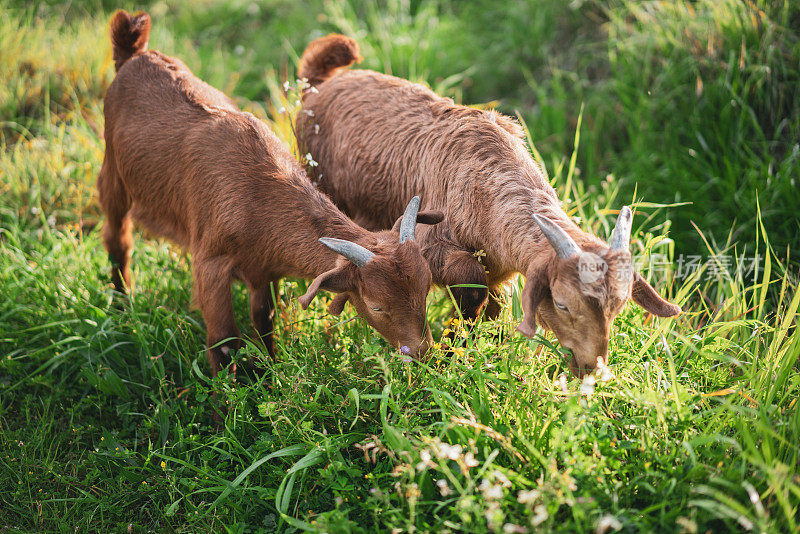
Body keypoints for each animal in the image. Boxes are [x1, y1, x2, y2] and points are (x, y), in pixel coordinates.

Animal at [98, 13, 444, 376]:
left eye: (426, 288)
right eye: (376, 306)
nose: (422, 353)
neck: (258, 199)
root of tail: (134, 53)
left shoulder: (263, 270)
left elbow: (264, 322)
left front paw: (269, 372)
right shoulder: (211, 265)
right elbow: (223, 342)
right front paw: (228, 390)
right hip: (113, 176)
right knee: (118, 239)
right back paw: (121, 306)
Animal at [296, 34, 680, 376]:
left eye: (620, 305)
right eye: (561, 303)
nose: (592, 368)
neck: (488, 183)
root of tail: (318, 83)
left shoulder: (500, 270)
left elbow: (493, 307)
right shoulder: (431, 246)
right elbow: (471, 286)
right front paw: (451, 350)